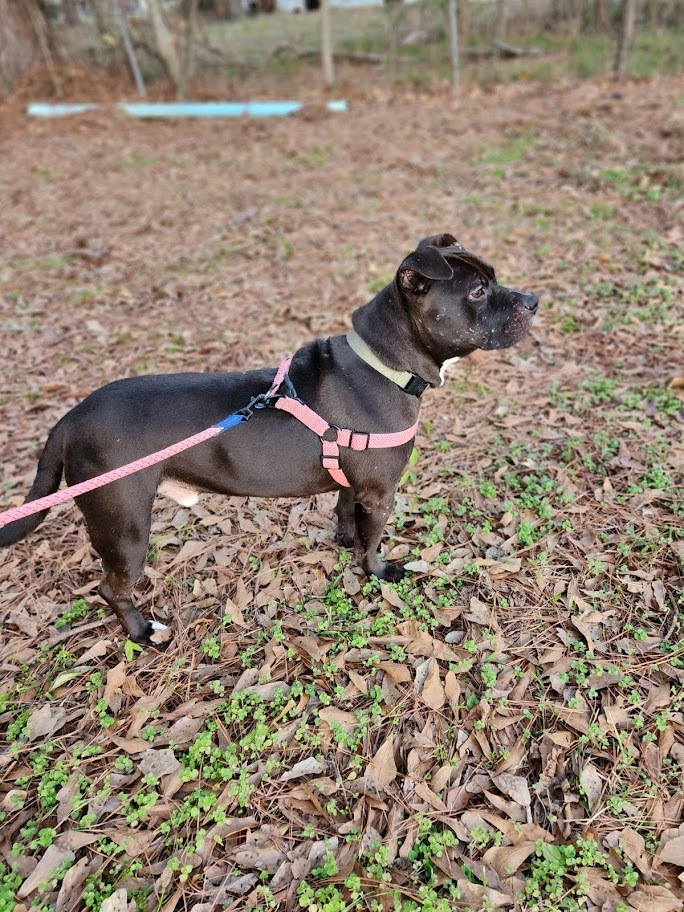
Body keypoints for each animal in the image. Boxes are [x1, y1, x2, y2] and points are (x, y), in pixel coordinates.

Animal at [0, 239, 536, 644]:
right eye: (479, 290)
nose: (532, 300)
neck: (383, 361)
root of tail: (70, 418)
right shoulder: (381, 493)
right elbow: (373, 541)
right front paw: (376, 572)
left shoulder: (353, 483)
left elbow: (345, 511)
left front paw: (345, 541)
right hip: (124, 524)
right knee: (112, 588)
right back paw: (141, 632)